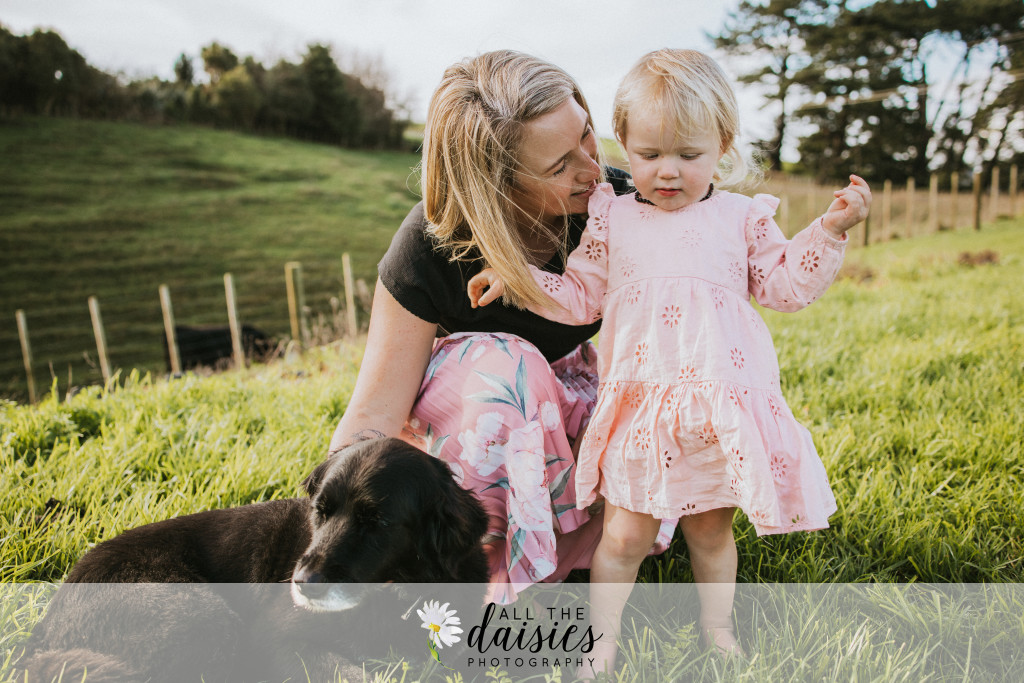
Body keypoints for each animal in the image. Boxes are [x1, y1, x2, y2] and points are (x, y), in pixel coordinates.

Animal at [19, 437, 489, 682]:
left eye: (378, 522)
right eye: (320, 511)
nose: (302, 583)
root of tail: (45, 627)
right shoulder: (276, 637)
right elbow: (354, 673)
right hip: (202, 619)